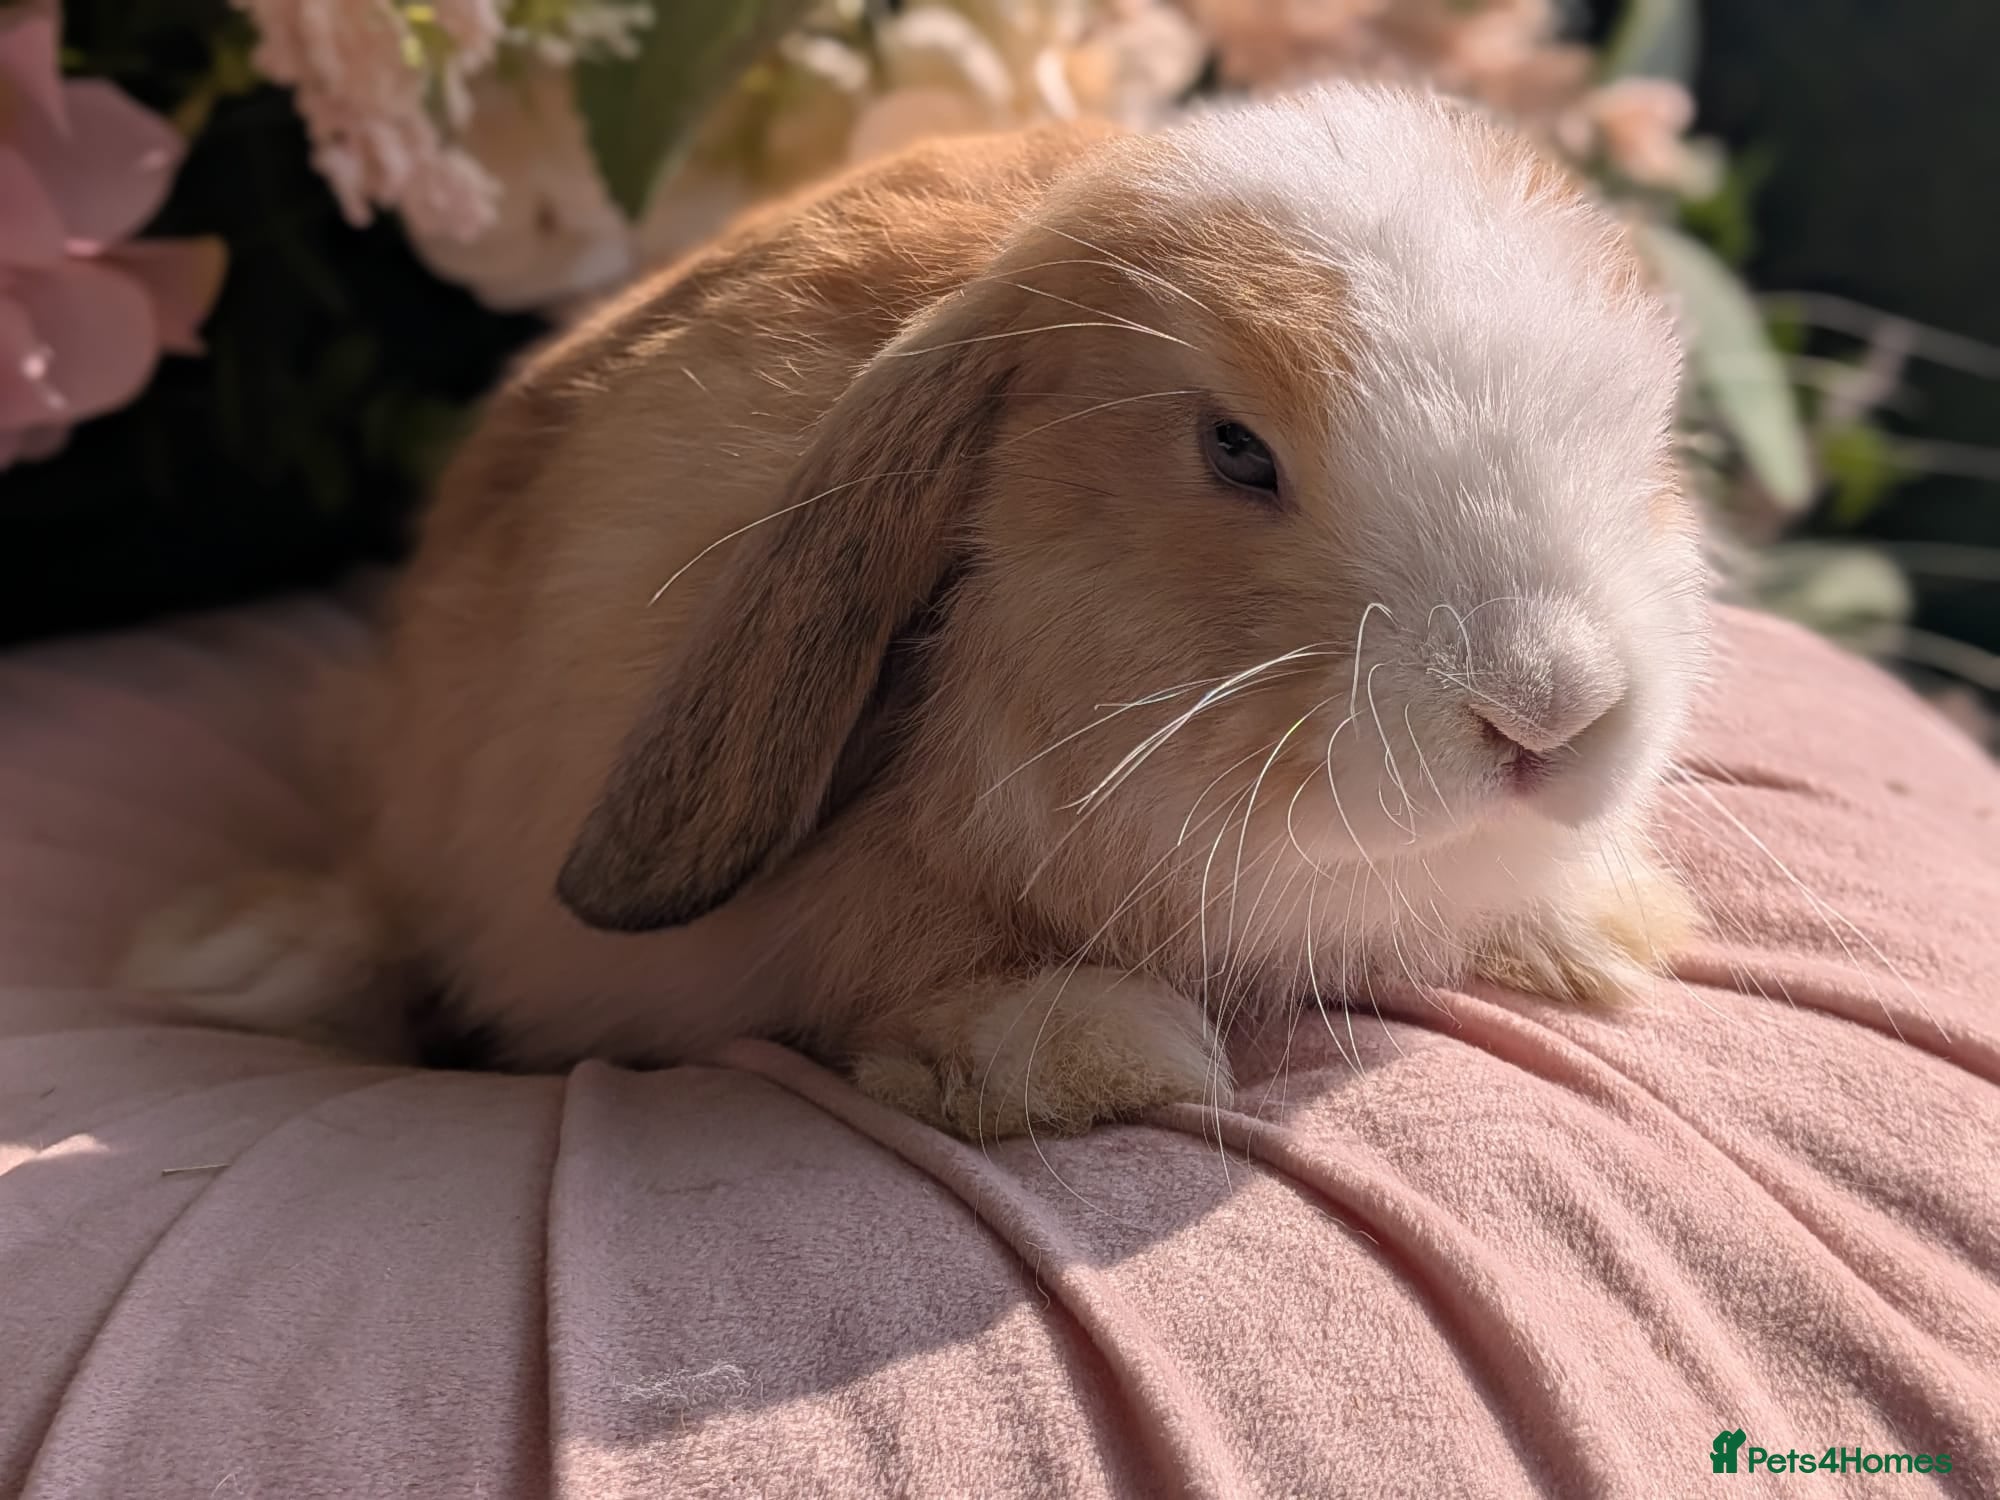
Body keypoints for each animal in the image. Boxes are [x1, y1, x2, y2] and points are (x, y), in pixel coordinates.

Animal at [123, 82, 1709, 1139]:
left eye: (1645, 438)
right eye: (1235, 449)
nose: (1549, 708)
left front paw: (1601, 931)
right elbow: (911, 975)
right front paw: (1105, 1058)